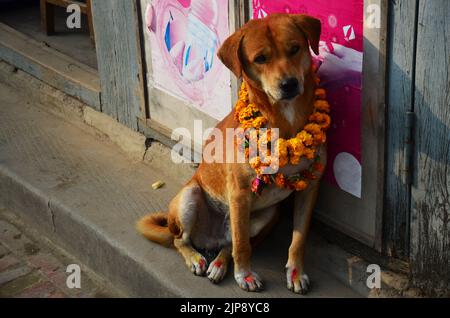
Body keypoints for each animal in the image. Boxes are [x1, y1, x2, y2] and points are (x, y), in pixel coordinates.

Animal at [135, 13, 326, 294]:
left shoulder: (310, 188)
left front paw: (296, 272)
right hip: (190, 197)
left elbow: (298, 239)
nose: (289, 84)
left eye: (295, 48)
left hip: (266, 214)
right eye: (260, 58)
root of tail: (209, 238)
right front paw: (244, 275)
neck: (285, 118)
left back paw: (219, 263)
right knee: (184, 240)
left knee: (228, 244)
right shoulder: (239, 193)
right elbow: (242, 246)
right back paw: (197, 258)